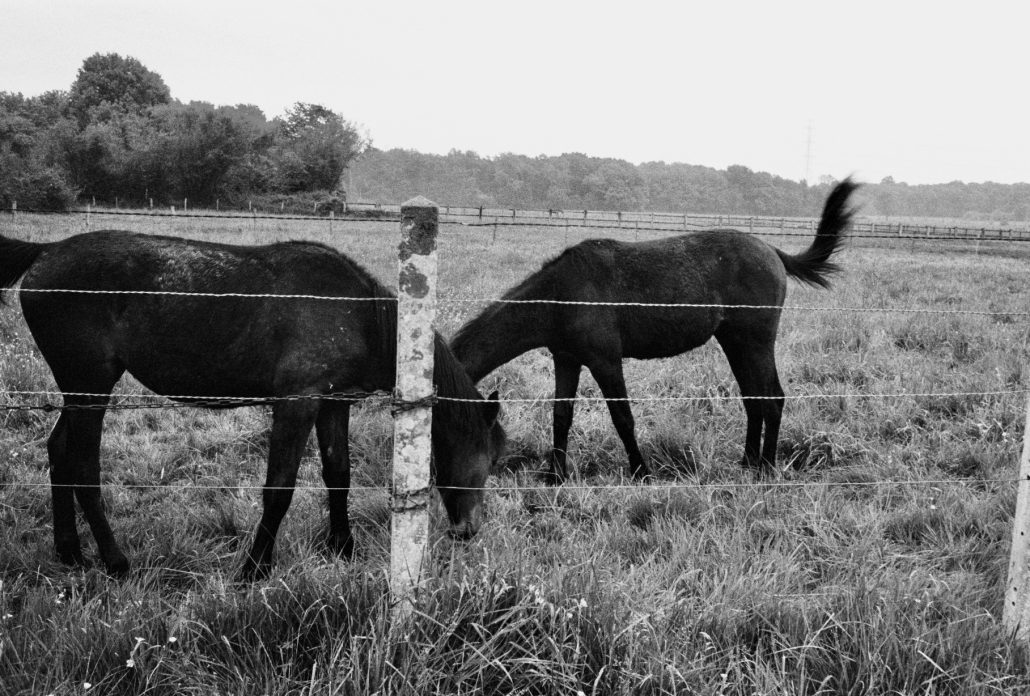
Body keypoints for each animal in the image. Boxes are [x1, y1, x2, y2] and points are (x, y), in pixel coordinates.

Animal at [0, 230, 502, 580]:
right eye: (488, 458)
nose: (470, 530)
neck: (359, 313)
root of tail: (45, 252)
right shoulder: (297, 403)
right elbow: (278, 489)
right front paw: (255, 568)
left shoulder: (333, 404)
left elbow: (338, 474)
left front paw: (343, 548)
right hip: (90, 387)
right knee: (83, 467)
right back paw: (115, 561)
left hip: (80, 390)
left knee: (58, 450)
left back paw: (69, 551)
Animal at [455, 179, 856, 483]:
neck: (562, 293)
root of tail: (772, 250)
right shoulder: (567, 359)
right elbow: (561, 416)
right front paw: (555, 476)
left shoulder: (605, 360)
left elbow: (622, 417)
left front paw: (641, 473)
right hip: (735, 342)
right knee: (753, 398)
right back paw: (747, 462)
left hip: (756, 342)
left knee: (772, 398)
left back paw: (767, 469)